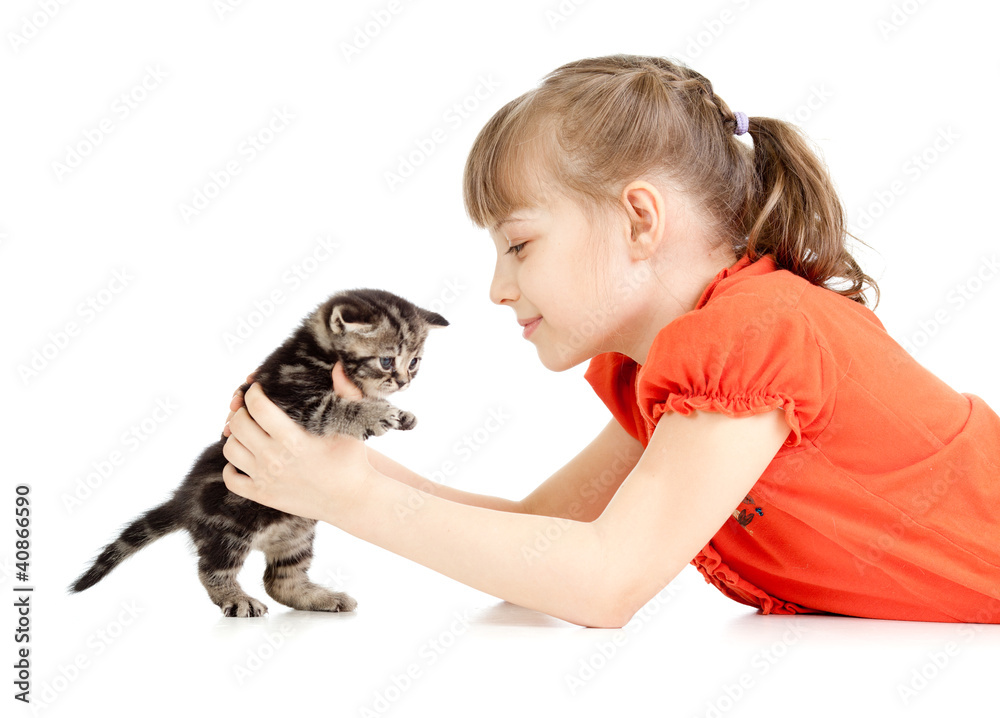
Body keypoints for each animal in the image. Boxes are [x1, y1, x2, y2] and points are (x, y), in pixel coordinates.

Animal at [70, 292, 446, 620]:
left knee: (279, 581)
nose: (403, 381)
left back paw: (319, 598)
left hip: (298, 531)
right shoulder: (298, 406)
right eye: (386, 361)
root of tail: (184, 500)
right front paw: (377, 413)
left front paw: (401, 414)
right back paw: (235, 598)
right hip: (229, 525)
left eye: (415, 362)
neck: (314, 354)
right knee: (211, 568)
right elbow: (338, 409)